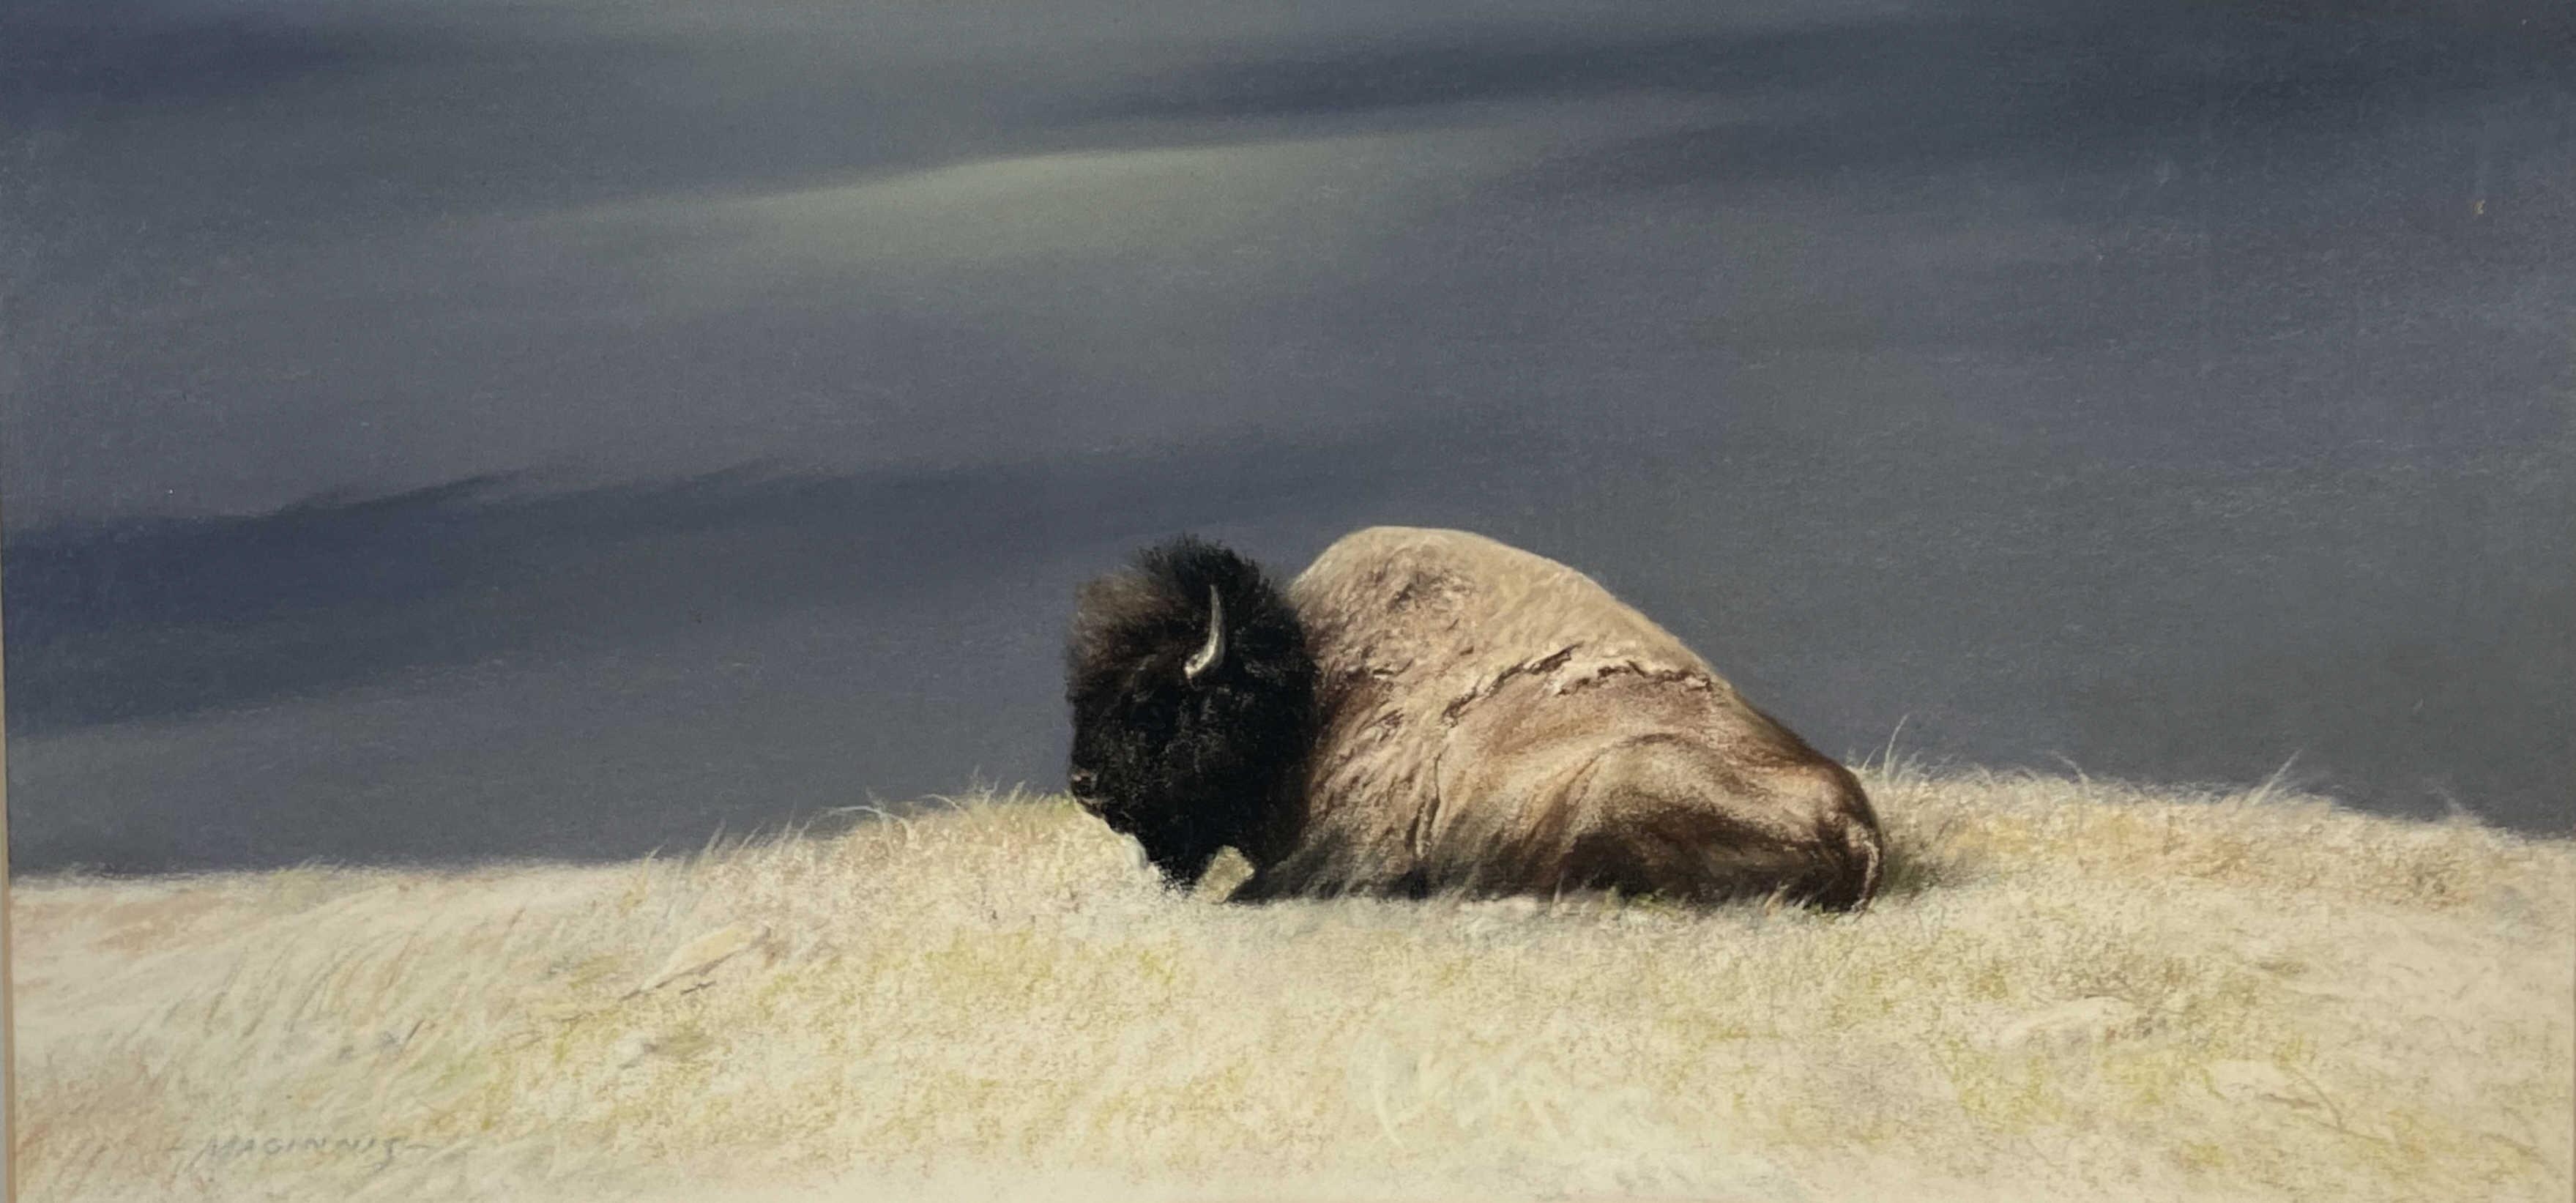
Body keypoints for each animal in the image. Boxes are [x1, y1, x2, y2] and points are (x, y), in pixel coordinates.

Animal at [1063, 526, 1883, 909]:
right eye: (1086, 693)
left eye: (1155, 703)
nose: (1084, 783)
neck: (1308, 699)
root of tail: (1859, 826)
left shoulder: (1353, 854)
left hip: (1625, 775)